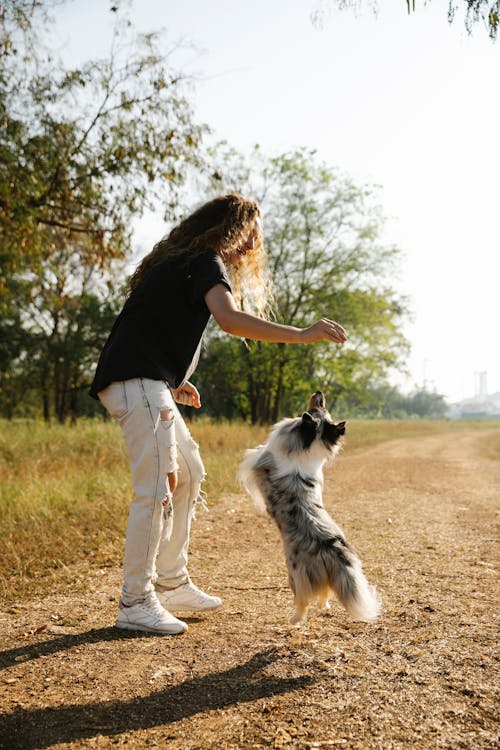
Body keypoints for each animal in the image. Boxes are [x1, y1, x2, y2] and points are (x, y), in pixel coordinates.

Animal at [240, 394, 380, 628]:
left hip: (296, 574)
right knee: (325, 592)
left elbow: (257, 455)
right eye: (322, 406)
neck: (309, 445)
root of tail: (334, 548)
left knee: (303, 600)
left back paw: (294, 619)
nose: (319, 392)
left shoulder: (259, 462)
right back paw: (324, 606)